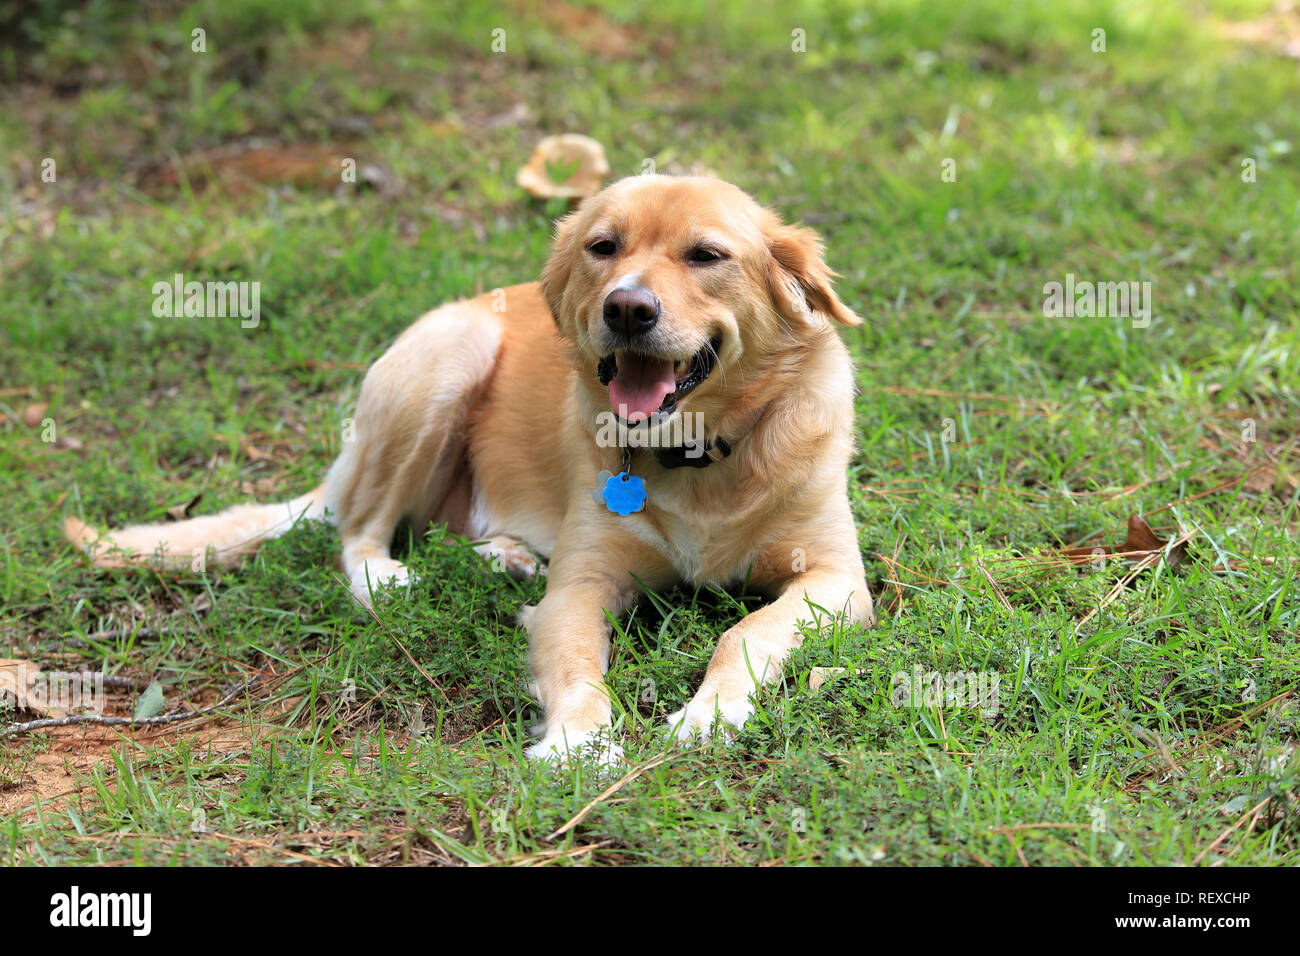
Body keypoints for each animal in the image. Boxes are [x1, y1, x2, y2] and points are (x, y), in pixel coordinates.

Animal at [63, 175, 873, 764]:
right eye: (603, 247)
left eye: (706, 255)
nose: (626, 309)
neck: (698, 454)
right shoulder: (578, 589)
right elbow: (578, 668)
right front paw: (578, 741)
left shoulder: (837, 582)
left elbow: (747, 632)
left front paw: (709, 715)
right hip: (449, 359)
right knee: (359, 531)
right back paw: (388, 578)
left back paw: (503, 555)